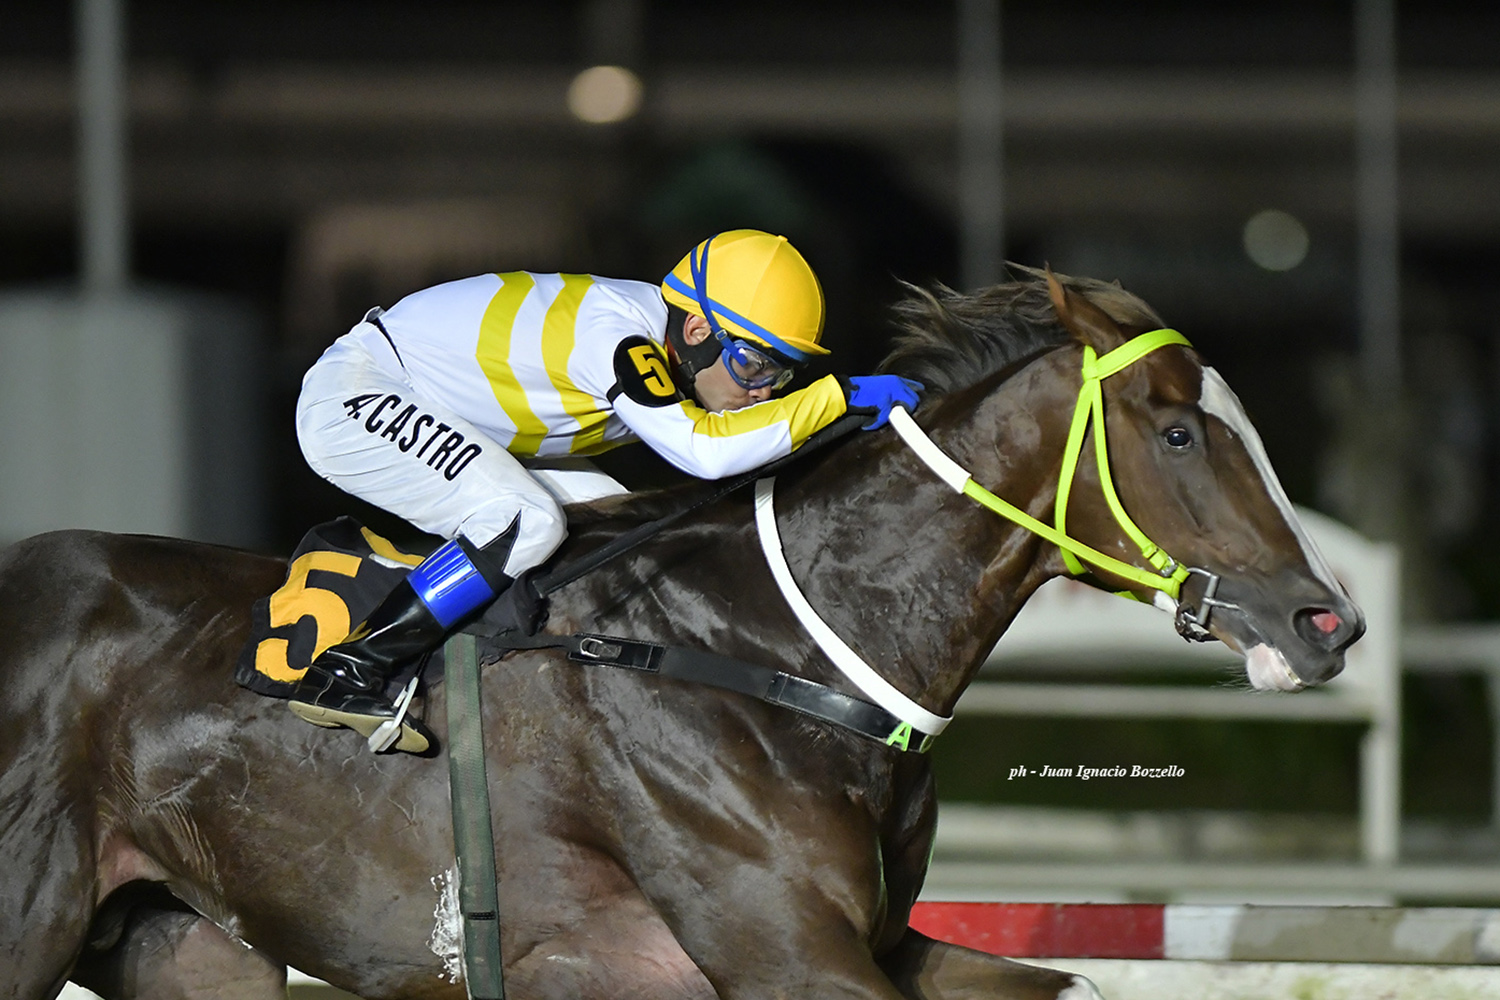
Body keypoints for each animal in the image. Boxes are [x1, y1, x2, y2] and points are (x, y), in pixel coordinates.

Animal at [0, 269, 1362, 1000]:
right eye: (1179, 432)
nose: (1326, 621)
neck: (783, 654)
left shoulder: (882, 943)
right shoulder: (787, 955)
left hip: (185, 939)